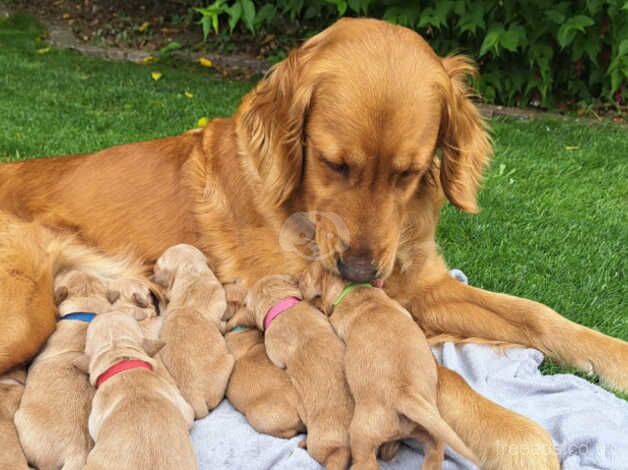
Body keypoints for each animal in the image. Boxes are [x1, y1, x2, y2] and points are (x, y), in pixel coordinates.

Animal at [302, 264, 478, 470]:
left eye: (305, 275)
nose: (298, 280)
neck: (357, 292)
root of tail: (404, 395)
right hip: (429, 426)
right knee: (435, 450)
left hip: (362, 433)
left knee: (366, 461)